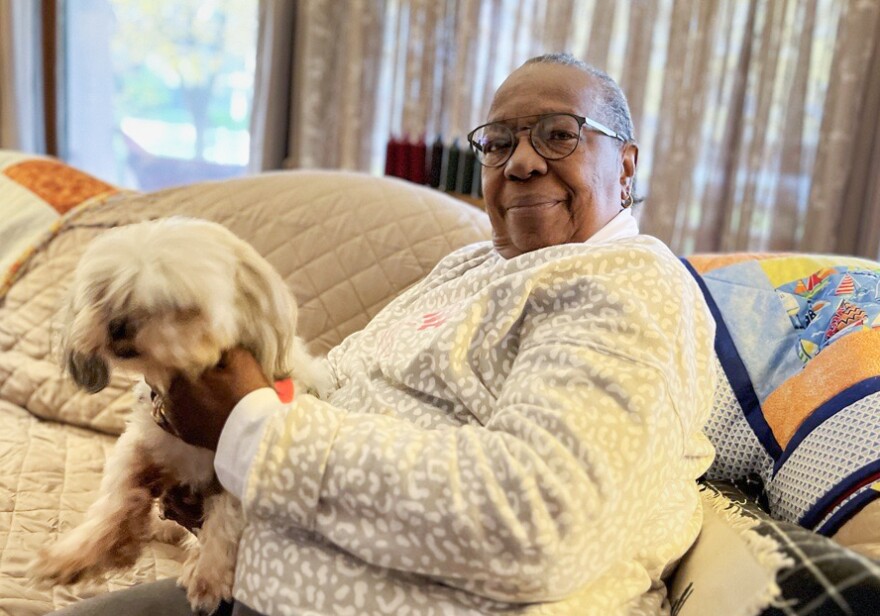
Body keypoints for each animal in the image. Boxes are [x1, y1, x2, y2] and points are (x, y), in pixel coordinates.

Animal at [31, 217, 330, 612]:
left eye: (171, 303)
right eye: (104, 293)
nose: (118, 324)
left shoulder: (241, 467)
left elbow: (227, 517)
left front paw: (209, 574)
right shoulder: (143, 444)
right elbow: (116, 496)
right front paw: (80, 552)